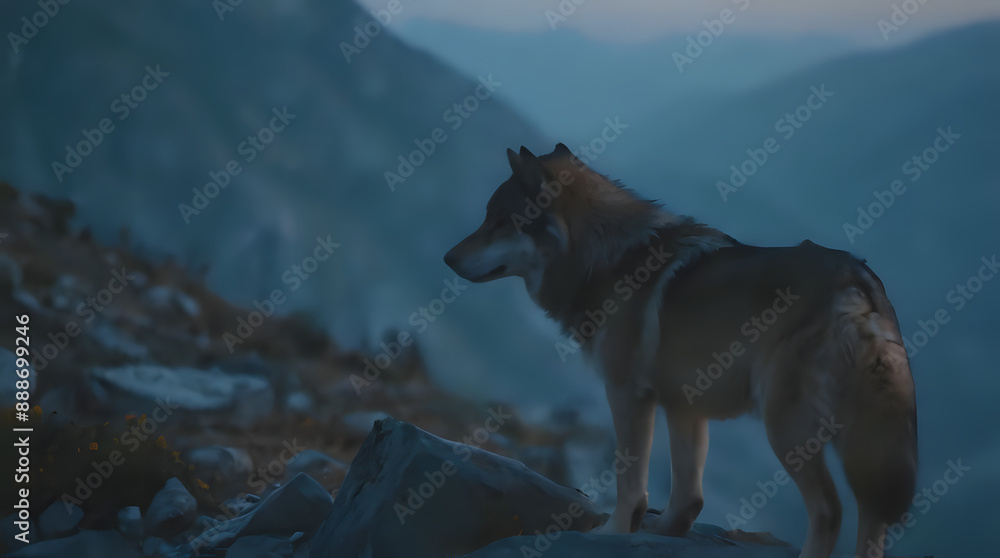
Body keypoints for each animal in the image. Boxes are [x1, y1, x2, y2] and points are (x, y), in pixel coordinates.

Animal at [444, 144, 918, 558]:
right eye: (487, 218)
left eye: (500, 221)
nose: (447, 258)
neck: (608, 259)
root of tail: (861, 283)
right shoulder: (685, 404)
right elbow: (688, 498)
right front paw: (663, 530)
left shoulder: (627, 393)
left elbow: (630, 482)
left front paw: (612, 534)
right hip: (862, 444)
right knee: (873, 517)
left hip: (788, 427)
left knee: (830, 512)